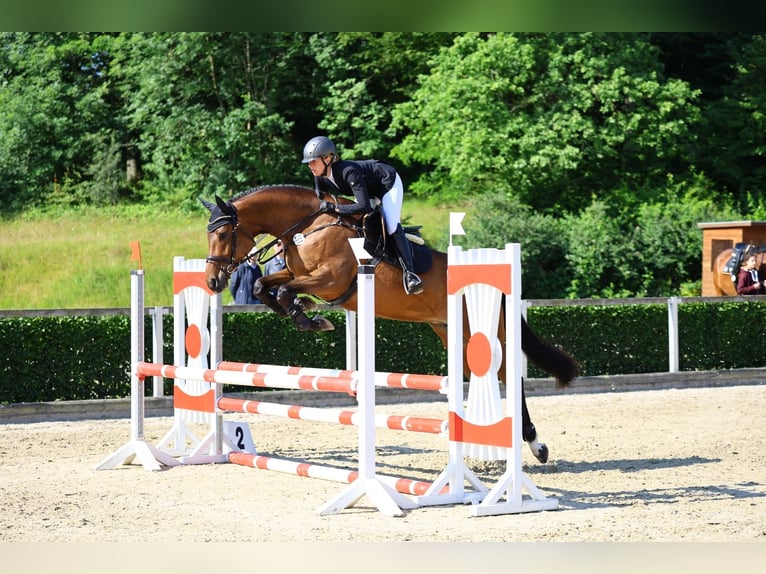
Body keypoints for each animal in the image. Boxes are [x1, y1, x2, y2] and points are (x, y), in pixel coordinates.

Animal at [201, 184, 580, 464]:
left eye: (224, 235)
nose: (212, 282)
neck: (306, 228)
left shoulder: (329, 280)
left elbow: (281, 289)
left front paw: (309, 316)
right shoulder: (298, 275)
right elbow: (265, 287)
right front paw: (306, 314)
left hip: (485, 328)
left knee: (509, 377)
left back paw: (536, 445)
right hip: (452, 331)